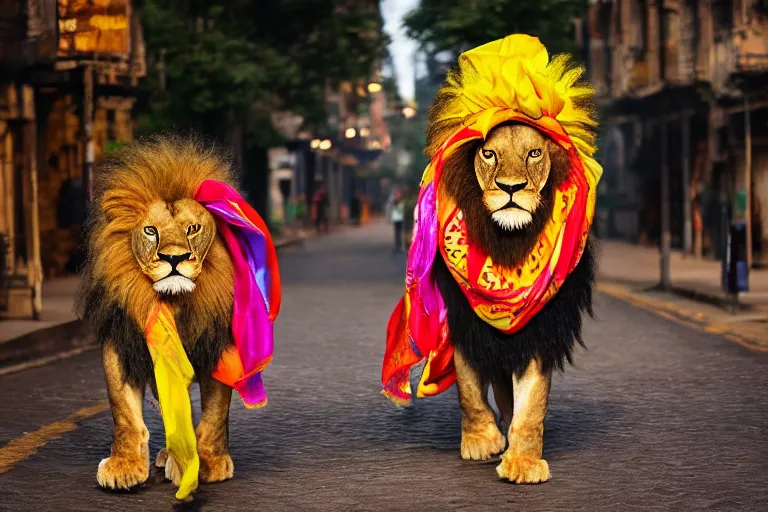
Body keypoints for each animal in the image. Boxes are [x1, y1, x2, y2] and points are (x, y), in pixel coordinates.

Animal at [77, 135, 254, 492]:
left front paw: (208, 464)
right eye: (150, 231)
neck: (176, 302)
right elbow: (124, 412)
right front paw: (124, 466)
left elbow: (214, 415)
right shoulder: (122, 344)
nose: (175, 258)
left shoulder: (217, 346)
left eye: (193, 228)